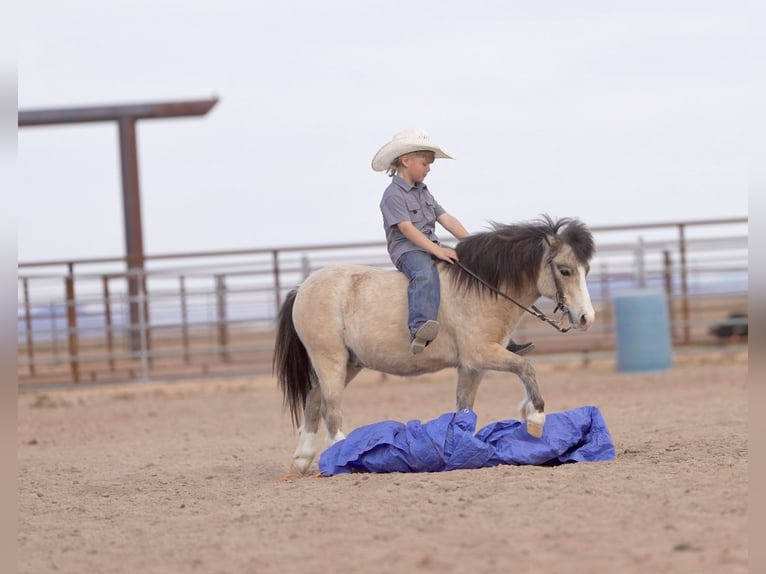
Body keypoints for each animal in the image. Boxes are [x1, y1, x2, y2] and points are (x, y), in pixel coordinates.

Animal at [273, 215, 596, 475]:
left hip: (349, 364)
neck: (482, 289)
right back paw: (342, 458)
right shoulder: (482, 354)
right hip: (329, 359)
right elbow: (526, 367)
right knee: (330, 409)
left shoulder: (472, 367)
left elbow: (465, 408)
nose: (586, 318)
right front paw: (535, 415)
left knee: (314, 401)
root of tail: (302, 287)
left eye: (586, 269)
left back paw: (302, 460)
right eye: (565, 270)